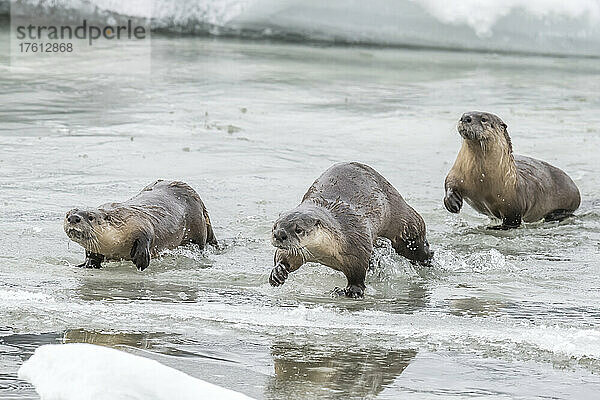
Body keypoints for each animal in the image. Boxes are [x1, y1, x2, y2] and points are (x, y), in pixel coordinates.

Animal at [63, 180, 217, 268]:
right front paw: (88, 264)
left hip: (198, 227)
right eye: (67, 215)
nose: (73, 218)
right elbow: (91, 254)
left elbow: (147, 236)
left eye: (90, 217)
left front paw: (141, 260)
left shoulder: (139, 221)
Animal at [270, 162, 434, 296]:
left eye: (298, 229)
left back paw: (429, 261)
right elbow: (285, 257)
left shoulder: (357, 242)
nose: (279, 234)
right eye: (275, 226)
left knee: (416, 244)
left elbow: (358, 274)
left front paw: (352, 291)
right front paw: (278, 272)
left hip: (404, 223)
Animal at [442, 111, 580, 230]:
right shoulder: (457, 173)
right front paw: (452, 203)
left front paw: (496, 227)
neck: (479, 181)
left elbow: (512, 222)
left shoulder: (513, 206)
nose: (466, 118)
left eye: (484, 119)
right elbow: (449, 182)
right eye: (463, 114)